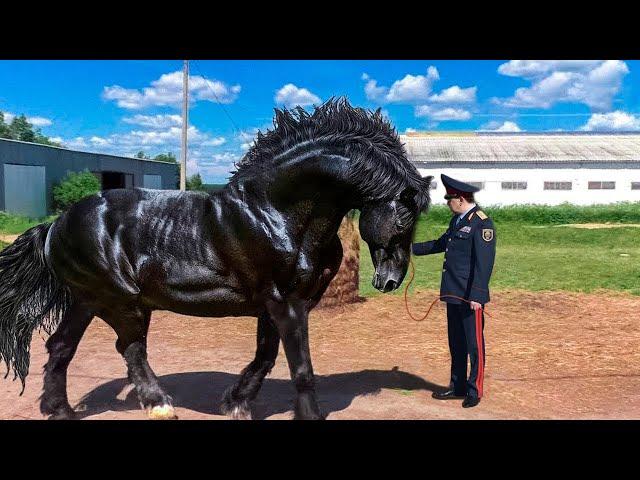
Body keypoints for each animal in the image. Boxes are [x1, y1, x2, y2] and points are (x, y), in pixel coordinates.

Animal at [0, 98, 432, 420]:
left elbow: (265, 357)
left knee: (61, 347)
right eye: (405, 216)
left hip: (87, 300)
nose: (390, 280)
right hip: (121, 302)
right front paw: (305, 413)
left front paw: (235, 402)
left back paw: (59, 410)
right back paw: (159, 405)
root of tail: (55, 225)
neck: (276, 213)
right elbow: (301, 367)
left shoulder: (275, 305)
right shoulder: (286, 302)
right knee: (131, 349)